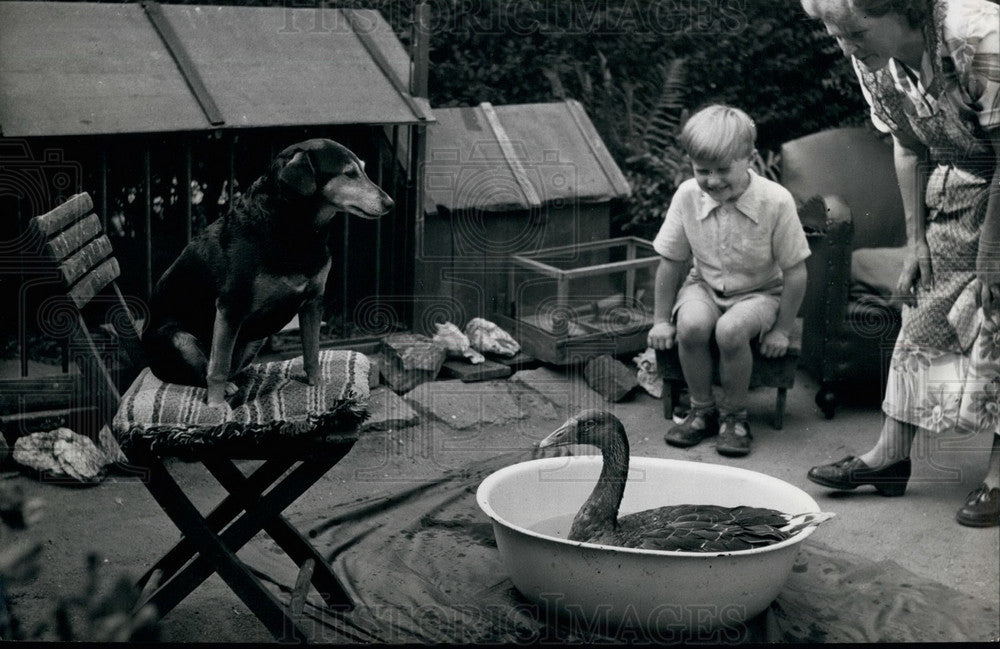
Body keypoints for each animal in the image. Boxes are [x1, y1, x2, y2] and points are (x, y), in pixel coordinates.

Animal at [145, 139, 394, 402]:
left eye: (363, 170)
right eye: (349, 173)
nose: (390, 203)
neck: (296, 229)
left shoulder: (313, 303)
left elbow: (312, 353)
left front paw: (317, 388)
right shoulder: (230, 308)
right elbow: (218, 367)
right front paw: (216, 406)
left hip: (255, 338)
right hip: (178, 338)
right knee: (204, 371)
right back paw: (224, 390)